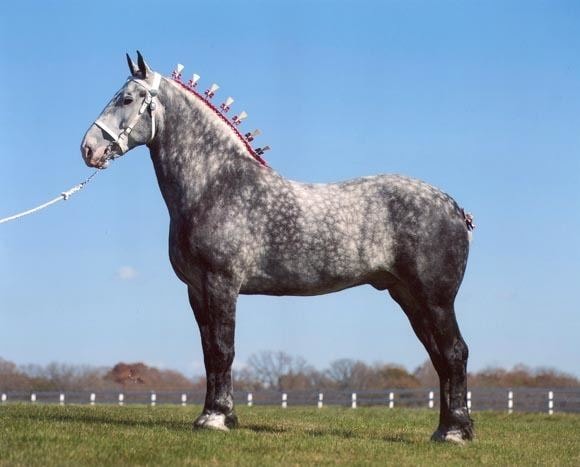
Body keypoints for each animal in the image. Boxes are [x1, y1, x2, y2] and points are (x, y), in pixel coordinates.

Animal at [81, 53, 474, 444]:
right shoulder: (196, 290)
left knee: (455, 353)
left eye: (126, 99)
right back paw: (447, 429)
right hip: (408, 296)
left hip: (435, 299)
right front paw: (216, 414)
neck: (215, 183)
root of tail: (456, 208)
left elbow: (223, 349)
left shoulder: (220, 283)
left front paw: (216, 417)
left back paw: (455, 432)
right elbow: (209, 353)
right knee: (440, 357)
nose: (88, 148)